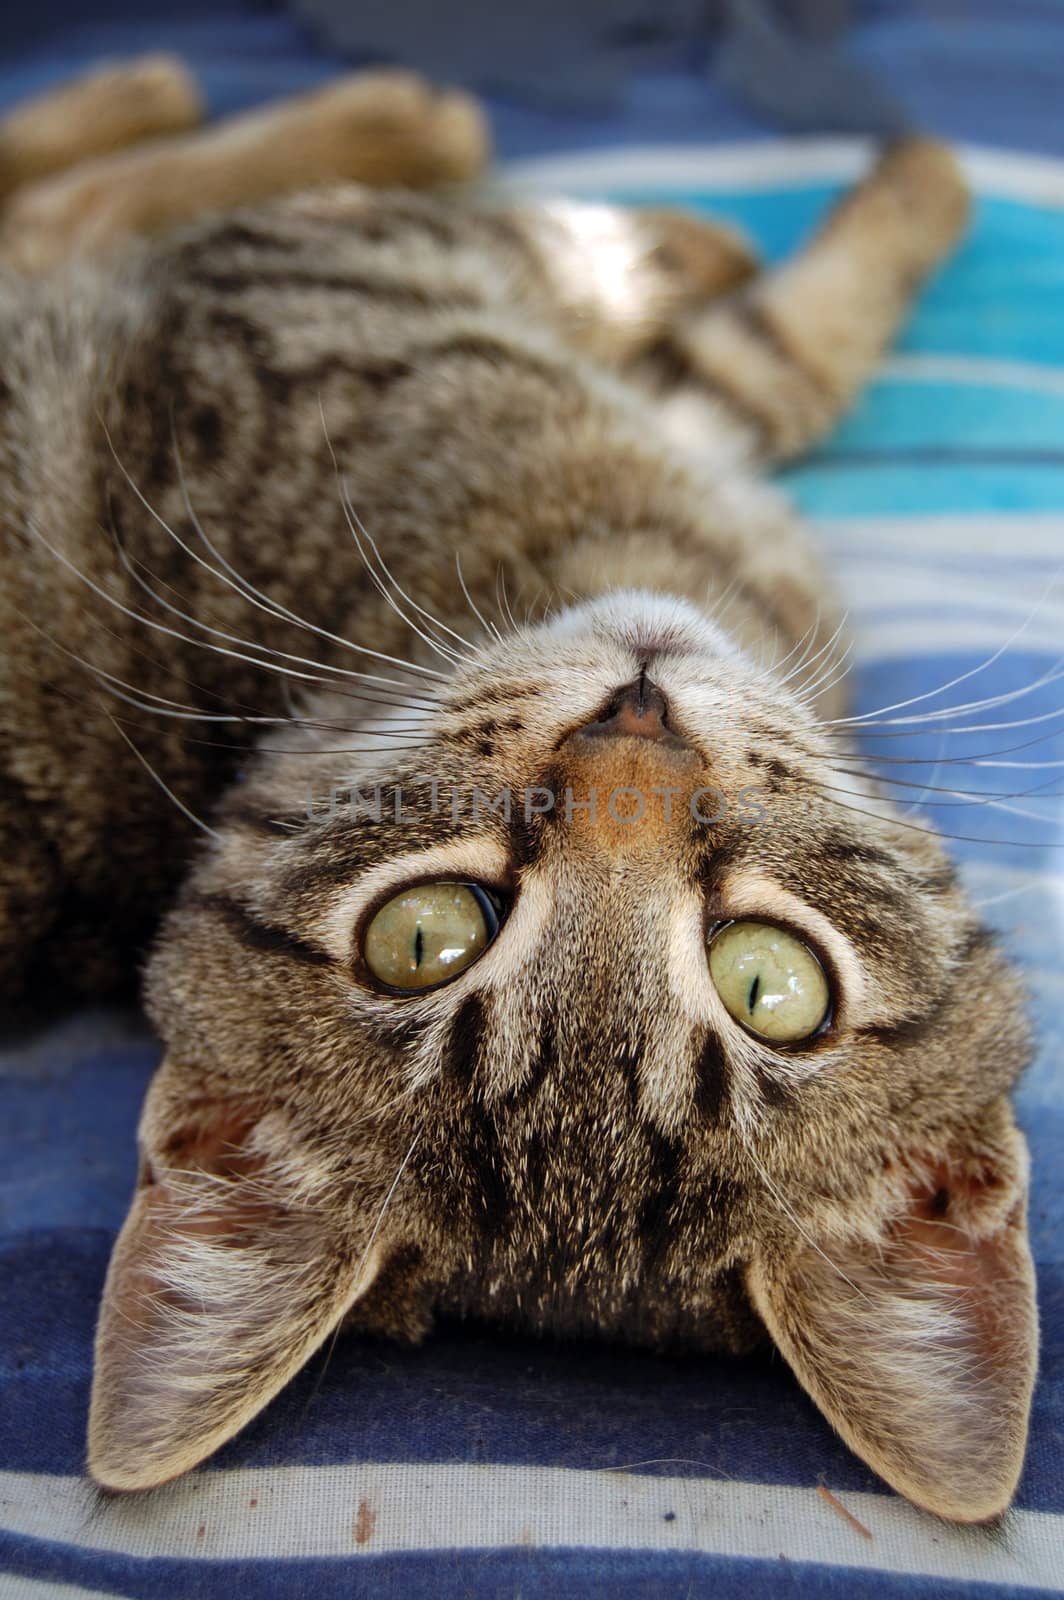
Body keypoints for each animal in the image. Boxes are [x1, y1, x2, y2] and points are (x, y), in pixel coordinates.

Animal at [0, 56, 1030, 1516]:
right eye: (423, 935)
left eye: (768, 982)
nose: (637, 730)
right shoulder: (296, 292)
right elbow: (679, 302)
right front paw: (883, 185)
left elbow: (758, 356)